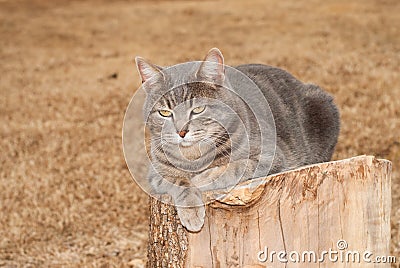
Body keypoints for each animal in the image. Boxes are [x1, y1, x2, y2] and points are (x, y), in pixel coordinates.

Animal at [135, 47, 340, 231]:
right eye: (164, 113)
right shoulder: (156, 173)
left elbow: (235, 167)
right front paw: (191, 210)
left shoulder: (272, 156)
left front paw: (202, 178)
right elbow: (179, 182)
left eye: (198, 109)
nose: (181, 132)